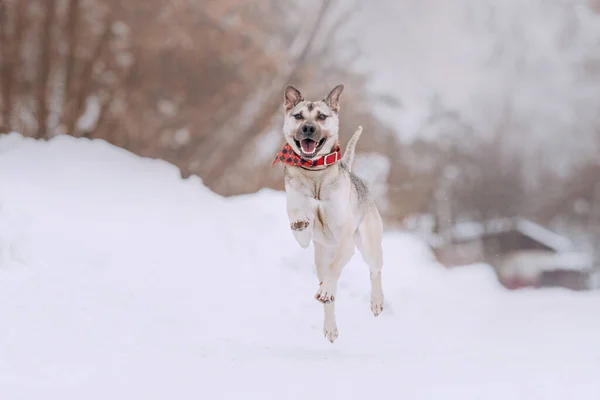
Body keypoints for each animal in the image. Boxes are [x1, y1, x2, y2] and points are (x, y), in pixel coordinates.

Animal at [274, 84, 384, 344]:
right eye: (298, 116)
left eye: (321, 117)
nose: (308, 128)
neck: (314, 172)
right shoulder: (303, 235)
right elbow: (298, 219)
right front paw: (300, 220)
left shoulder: (346, 242)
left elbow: (335, 270)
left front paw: (326, 290)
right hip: (320, 258)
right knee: (330, 295)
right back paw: (330, 327)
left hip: (368, 244)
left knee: (374, 270)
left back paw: (375, 301)